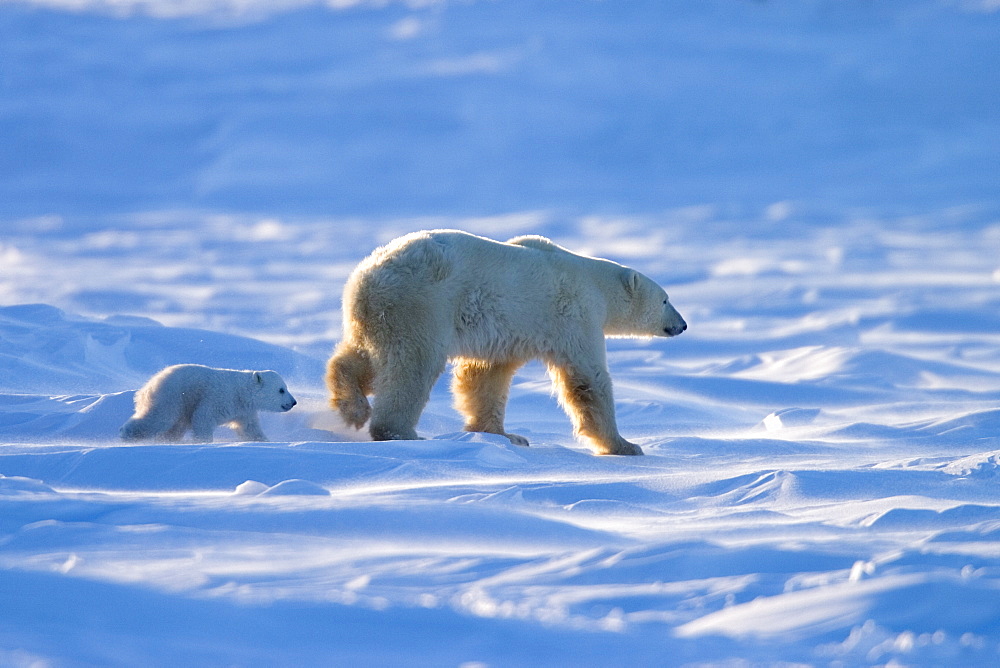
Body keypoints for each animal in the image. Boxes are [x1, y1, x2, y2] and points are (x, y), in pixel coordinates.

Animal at [118, 366, 294, 444]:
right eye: (281, 390)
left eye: (285, 387)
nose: (293, 402)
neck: (240, 393)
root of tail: (147, 386)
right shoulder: (218, 399)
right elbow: (203, 418)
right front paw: (203, 441)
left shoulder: (243, 411)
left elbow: (250, 429)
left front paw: (265, 441)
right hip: (172, 396)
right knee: (159, 418)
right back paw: (127, 434)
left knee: (174, 427)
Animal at [328, 228, 688, 454]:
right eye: (666, 300)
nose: (682, 325)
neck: (593, 282)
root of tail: (367, 277)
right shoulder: (574, 316)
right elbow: (587, 379)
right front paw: (625, 445)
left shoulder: (505, 334)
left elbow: (486, 377)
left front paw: (507, 436)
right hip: (421, 305)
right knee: (411, 366)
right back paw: (401, 432)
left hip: (377, 317)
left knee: (362, 357)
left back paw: (352, 404)